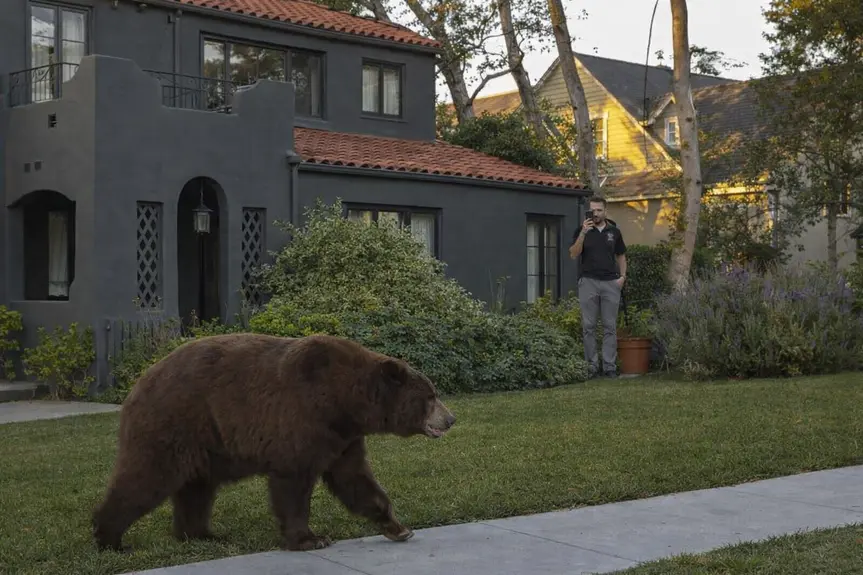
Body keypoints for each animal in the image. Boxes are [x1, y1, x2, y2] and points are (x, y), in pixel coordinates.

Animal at [91, 332, 456, 553]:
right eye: (430, 396)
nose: (450, 419)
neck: (345, 402)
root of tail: (139, 382)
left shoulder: (343, 439)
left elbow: (354, 479)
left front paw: (398, 526)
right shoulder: (301, 420)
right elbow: (293, 484)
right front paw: (310, 538)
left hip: (205, 442)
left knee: (197, 489)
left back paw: (202, 534)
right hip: (173, 423)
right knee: (146, 477)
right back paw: (110, 538)